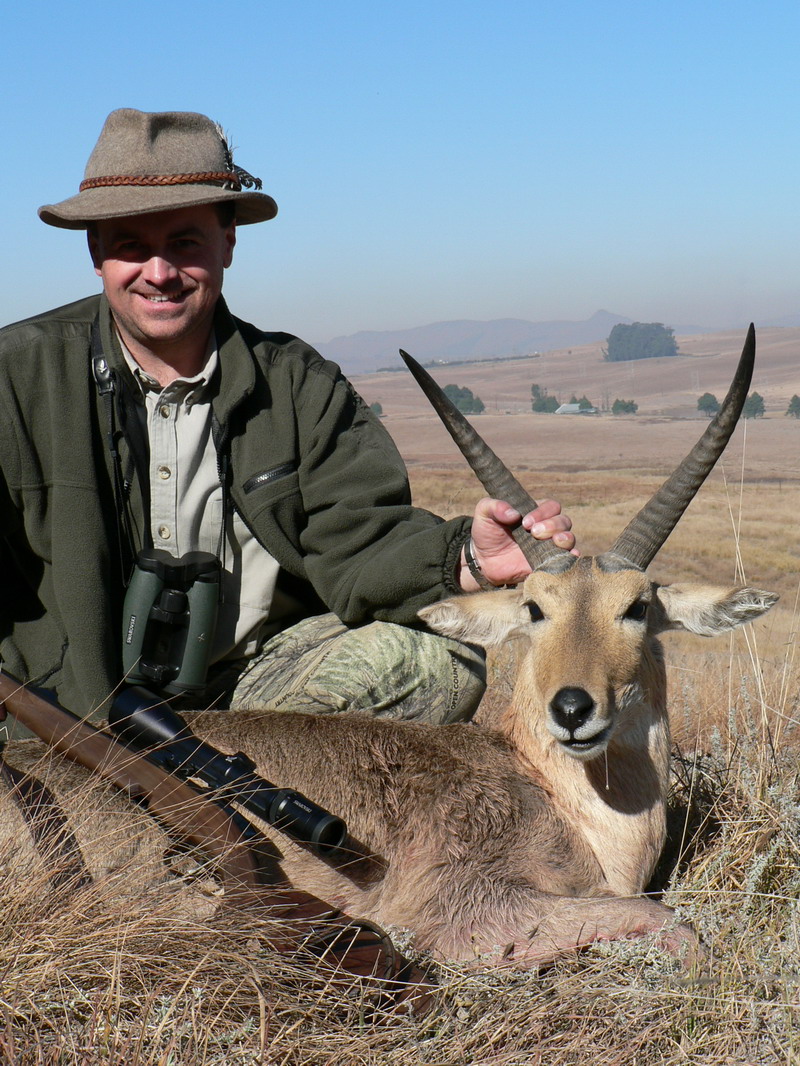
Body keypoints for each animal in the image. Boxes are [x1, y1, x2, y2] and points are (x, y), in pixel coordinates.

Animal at [1, 326, 776, 967]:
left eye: (637, 607)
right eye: (535, 607)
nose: (574, 709)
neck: (545, 788)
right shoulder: (467, 913)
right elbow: (674, 923)